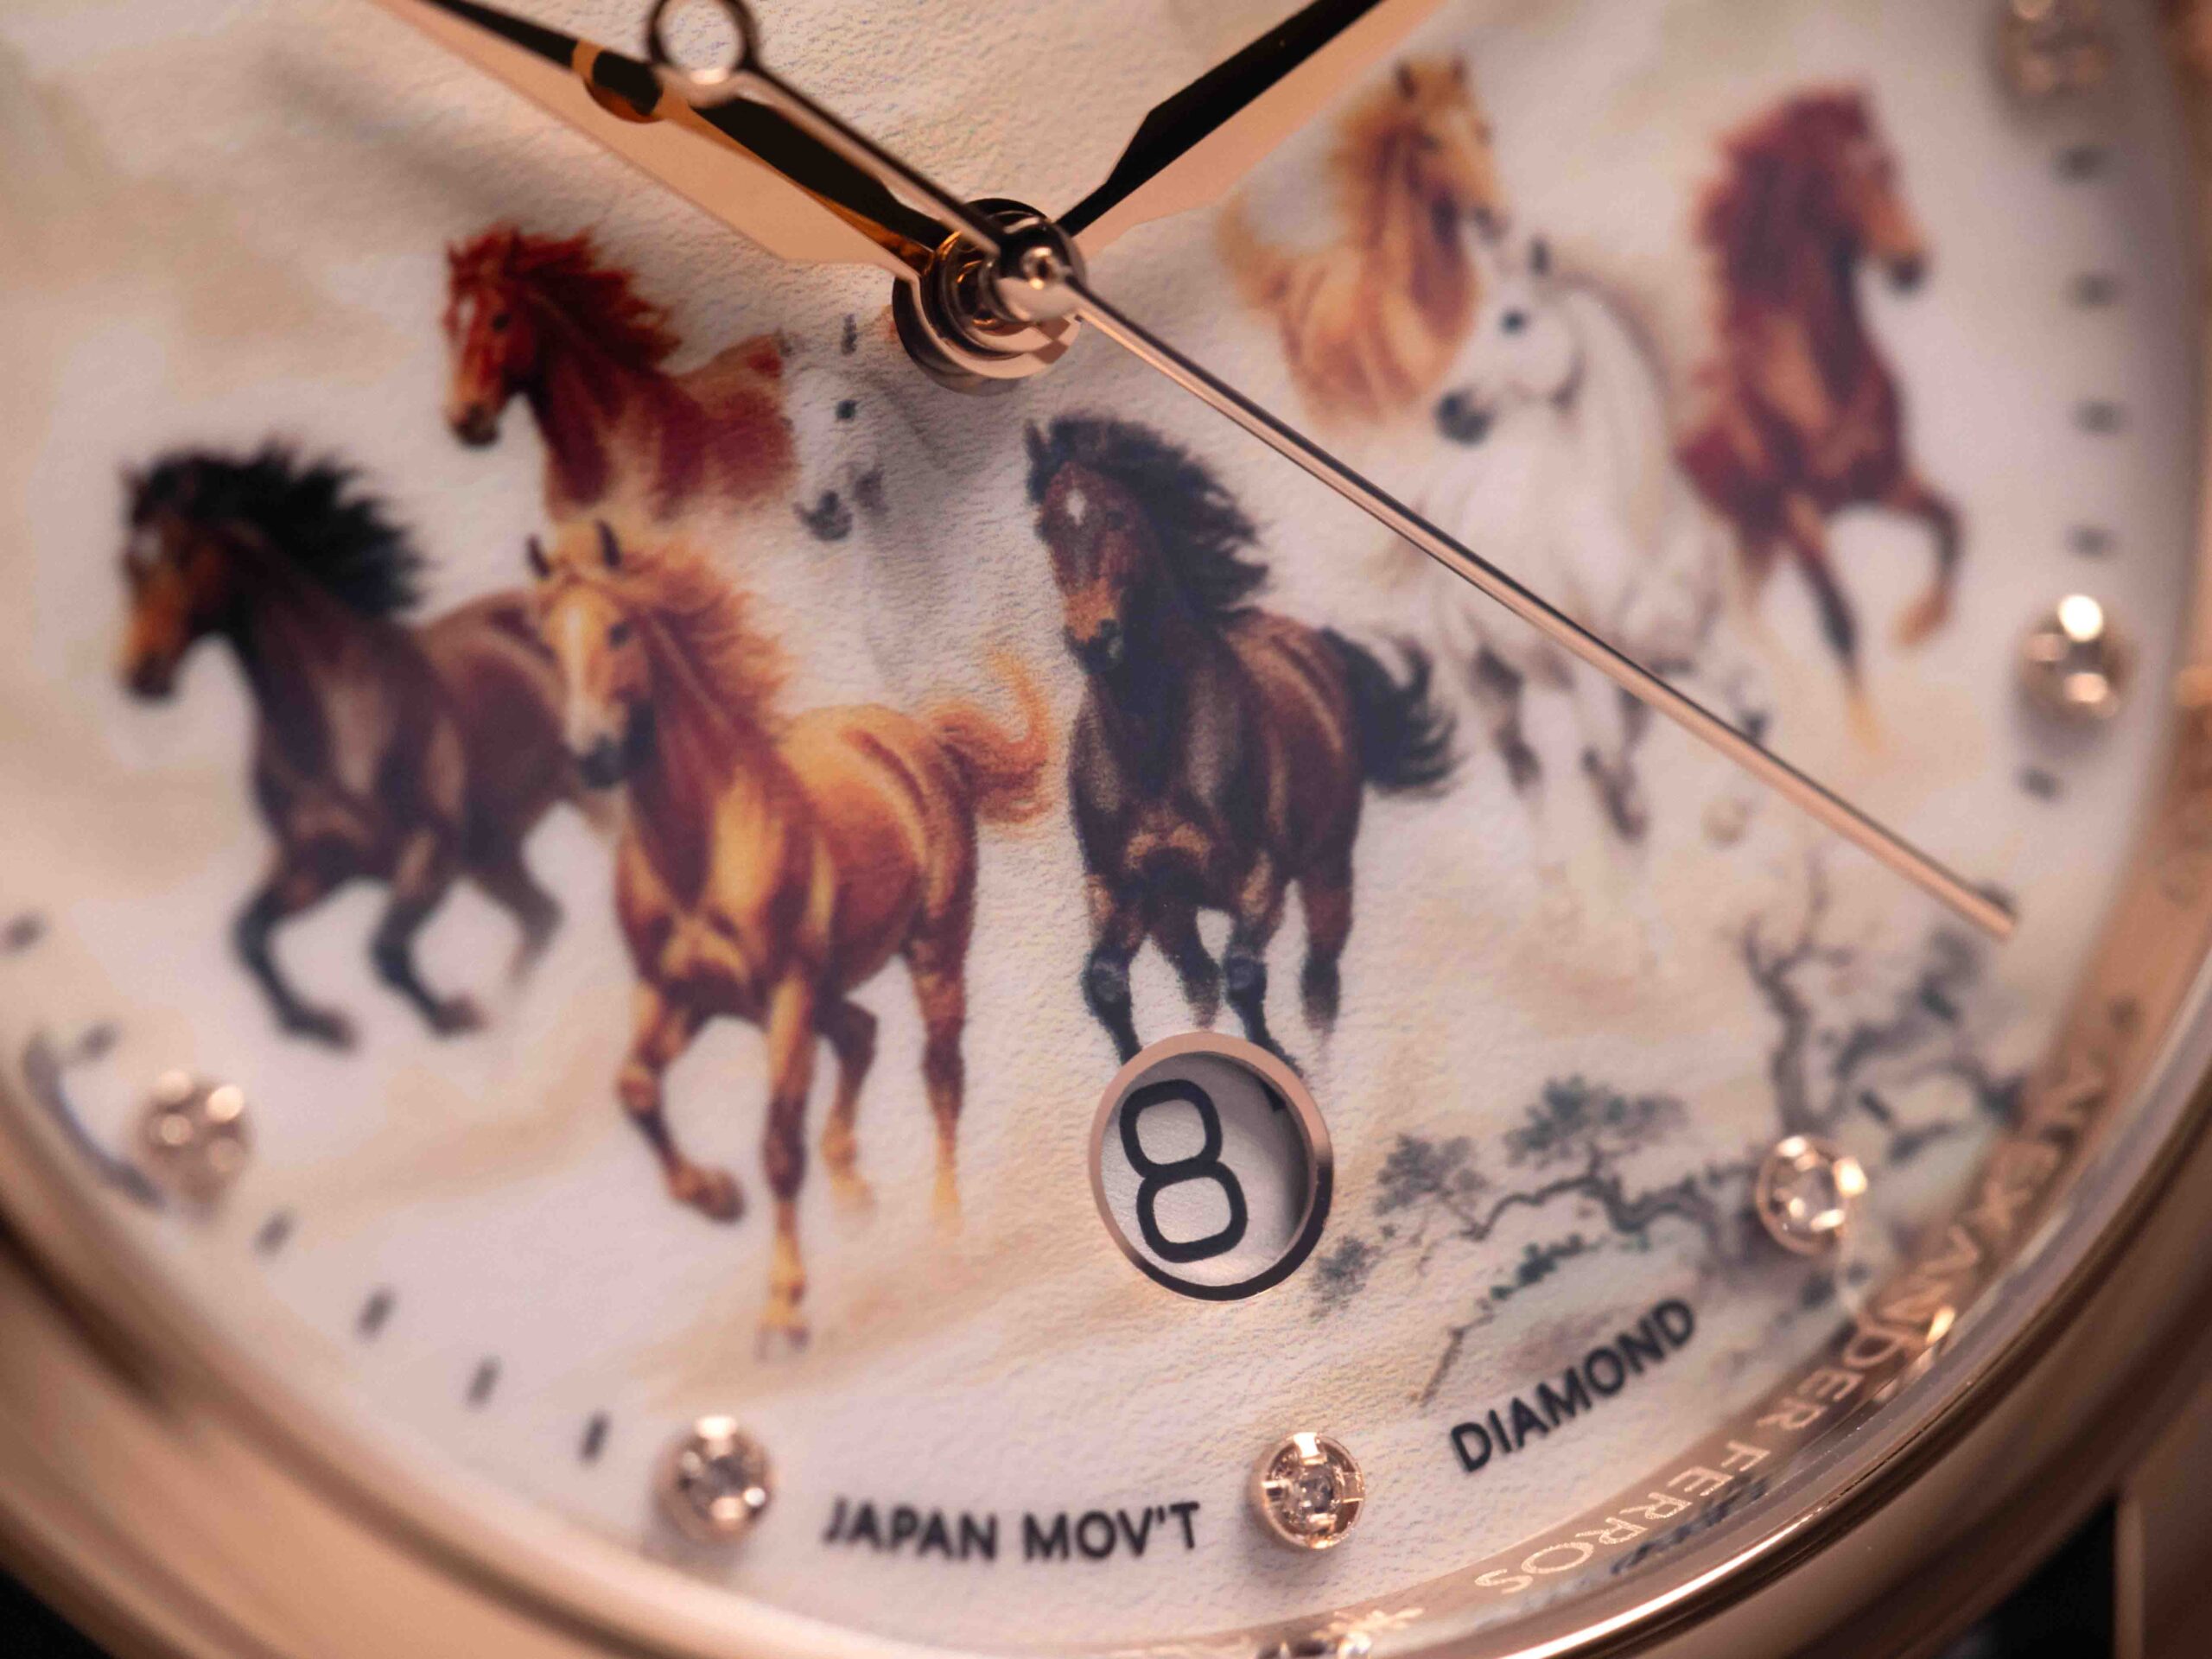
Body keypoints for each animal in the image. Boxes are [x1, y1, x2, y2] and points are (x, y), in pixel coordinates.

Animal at [117, 446, 580, 1048]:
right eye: (127, 562)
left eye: (181, 552)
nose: (139, 674)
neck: (339, 721)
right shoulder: (318, 861)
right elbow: (248, 934)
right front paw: (322, 1025)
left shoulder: (431, 852)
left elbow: (384, 951)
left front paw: (456, 1015)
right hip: (494, 853)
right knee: (543, 917)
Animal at [530, 520, 1049, 1348]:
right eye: (545, 644)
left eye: (619, 628)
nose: (593, 755)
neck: (701, 853)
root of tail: (917, 737)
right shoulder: (676, 995)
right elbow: (636, 1089)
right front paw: (715, 1197)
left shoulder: (783, 996)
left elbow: (777, 1146)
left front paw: (783, 1309)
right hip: (825, 989)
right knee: (862, 1034)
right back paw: (854, 1192)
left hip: (931, 953)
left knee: (940, 1075)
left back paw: (944, 1229)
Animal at [1027, 416, 1455, 1067]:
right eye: (1045, 527)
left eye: (1119, 516)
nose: (1092, 639)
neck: (1154, 752)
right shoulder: (1122, 889)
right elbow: (1109, 985)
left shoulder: (1260, 881)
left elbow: (1246, 978)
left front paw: (1284, 1063)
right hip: (1175, 912)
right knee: (1200, 981)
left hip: (1328, 872)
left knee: (1319, 987)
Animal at [1424, 233, 1769, 841]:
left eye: (1512, 319)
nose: (1447, 409)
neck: (1639, 533)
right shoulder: (1595, 679)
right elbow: (1622, 796)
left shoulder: (1692, 642)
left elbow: (1753, 717)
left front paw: (1729, 814)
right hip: (1490, 686)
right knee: (1529, 771)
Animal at [1676, 89, 1959, 707]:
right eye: (1838, 179)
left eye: (1889, 164)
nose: (1912, 264)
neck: (1820, 387)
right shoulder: (1799, 514)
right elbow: (1842, 627)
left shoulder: (1882, 482)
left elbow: (1953, 526)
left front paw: (1915, 627)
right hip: (1740, 540)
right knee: (1738, 620)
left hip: (1759, 544)